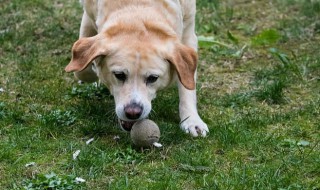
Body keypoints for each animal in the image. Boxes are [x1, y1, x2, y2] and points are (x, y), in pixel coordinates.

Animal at [66, 0, 209, 137]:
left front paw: (192, 121)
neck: (139, 9)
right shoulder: (88, 17)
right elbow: (82, 70)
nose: (133, 112)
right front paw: (94, 68)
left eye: (153, 78)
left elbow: (188, 84)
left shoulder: (188, 33)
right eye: (119, 75)